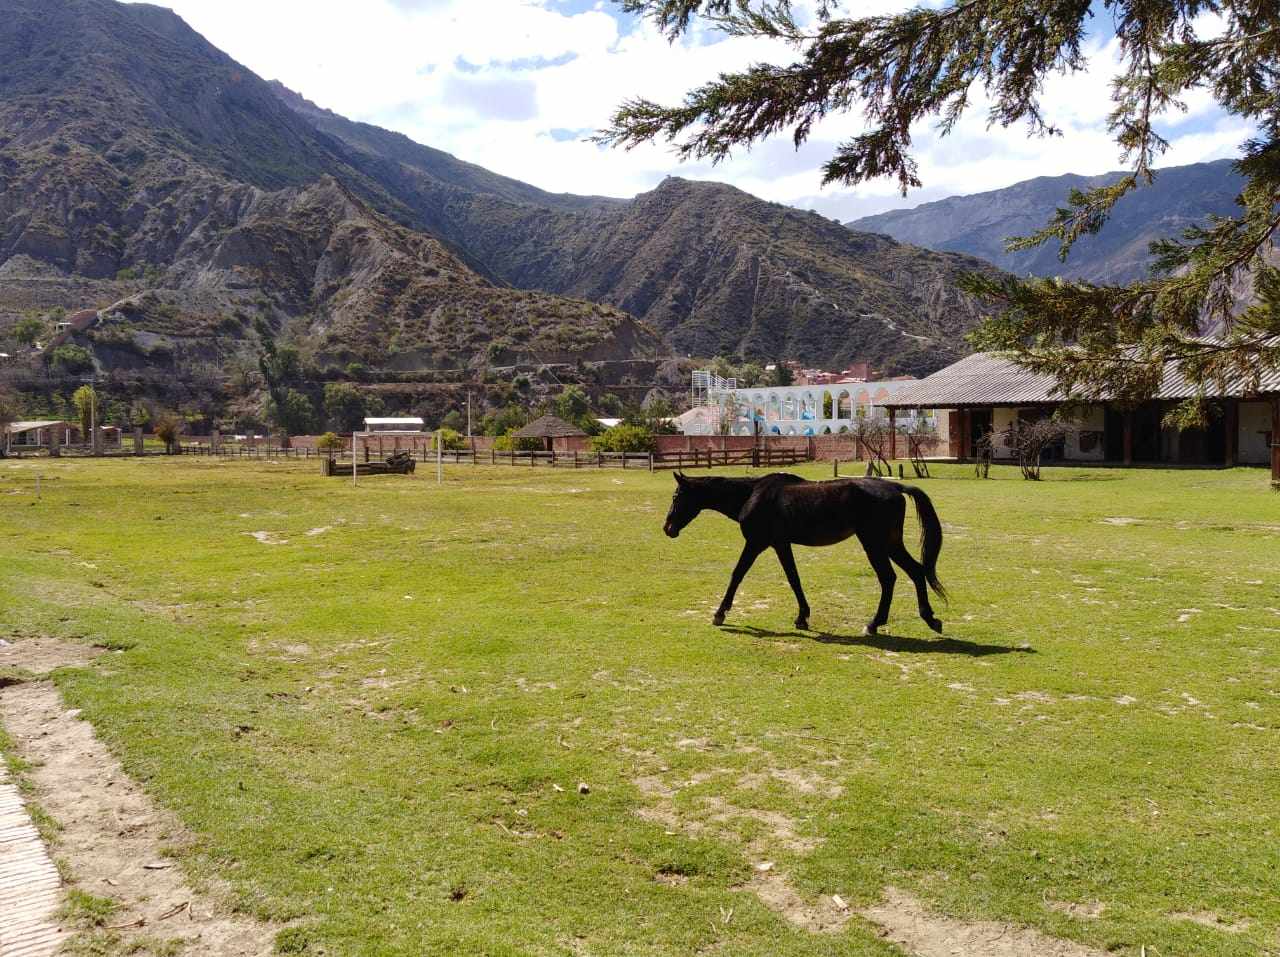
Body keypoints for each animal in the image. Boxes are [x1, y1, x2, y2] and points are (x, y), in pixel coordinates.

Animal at [665, 470, 947, 634]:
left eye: (677, 496)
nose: (667, 528)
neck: (752, 494)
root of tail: (896, 488)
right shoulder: (780, 544)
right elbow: (794, 578)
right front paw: (802, 617)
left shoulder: (756, 543)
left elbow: (737, 574)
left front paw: (719, 614)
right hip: (890, 543)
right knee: (916, 571)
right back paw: (929, 618)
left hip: (874, 543)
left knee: (889, 578)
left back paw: (874, 623)